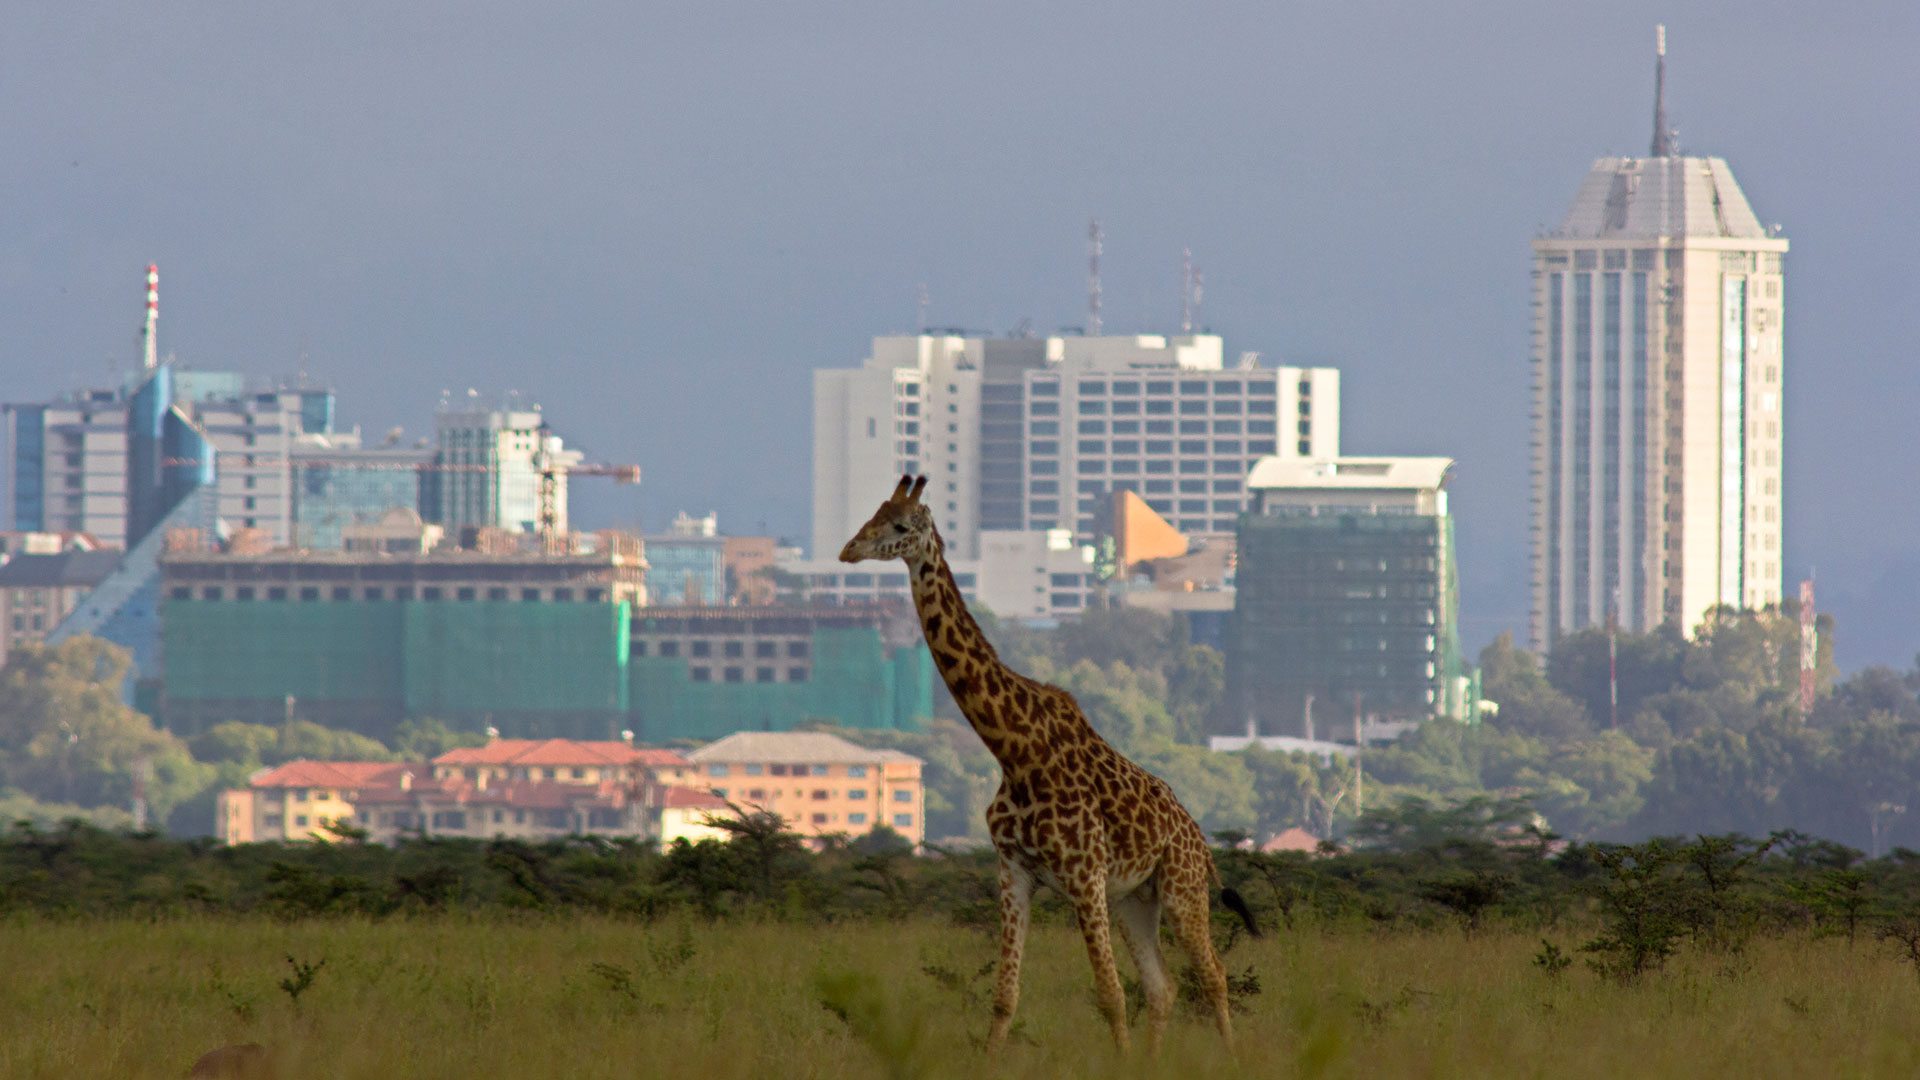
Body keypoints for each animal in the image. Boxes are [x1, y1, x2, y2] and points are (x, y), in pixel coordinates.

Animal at [840, 472, 1259, 1053]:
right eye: (873, 514)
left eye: (900, 526)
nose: (848, 550)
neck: (1014, 752)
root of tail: (1200, 839)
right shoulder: (1014, 871)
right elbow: (1005, 996)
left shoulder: (1084, 877)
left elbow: (1110, 995)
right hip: (1135, 900)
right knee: (1164, 987)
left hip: (1182, 889)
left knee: (1212, 976)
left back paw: (1232, 1057)